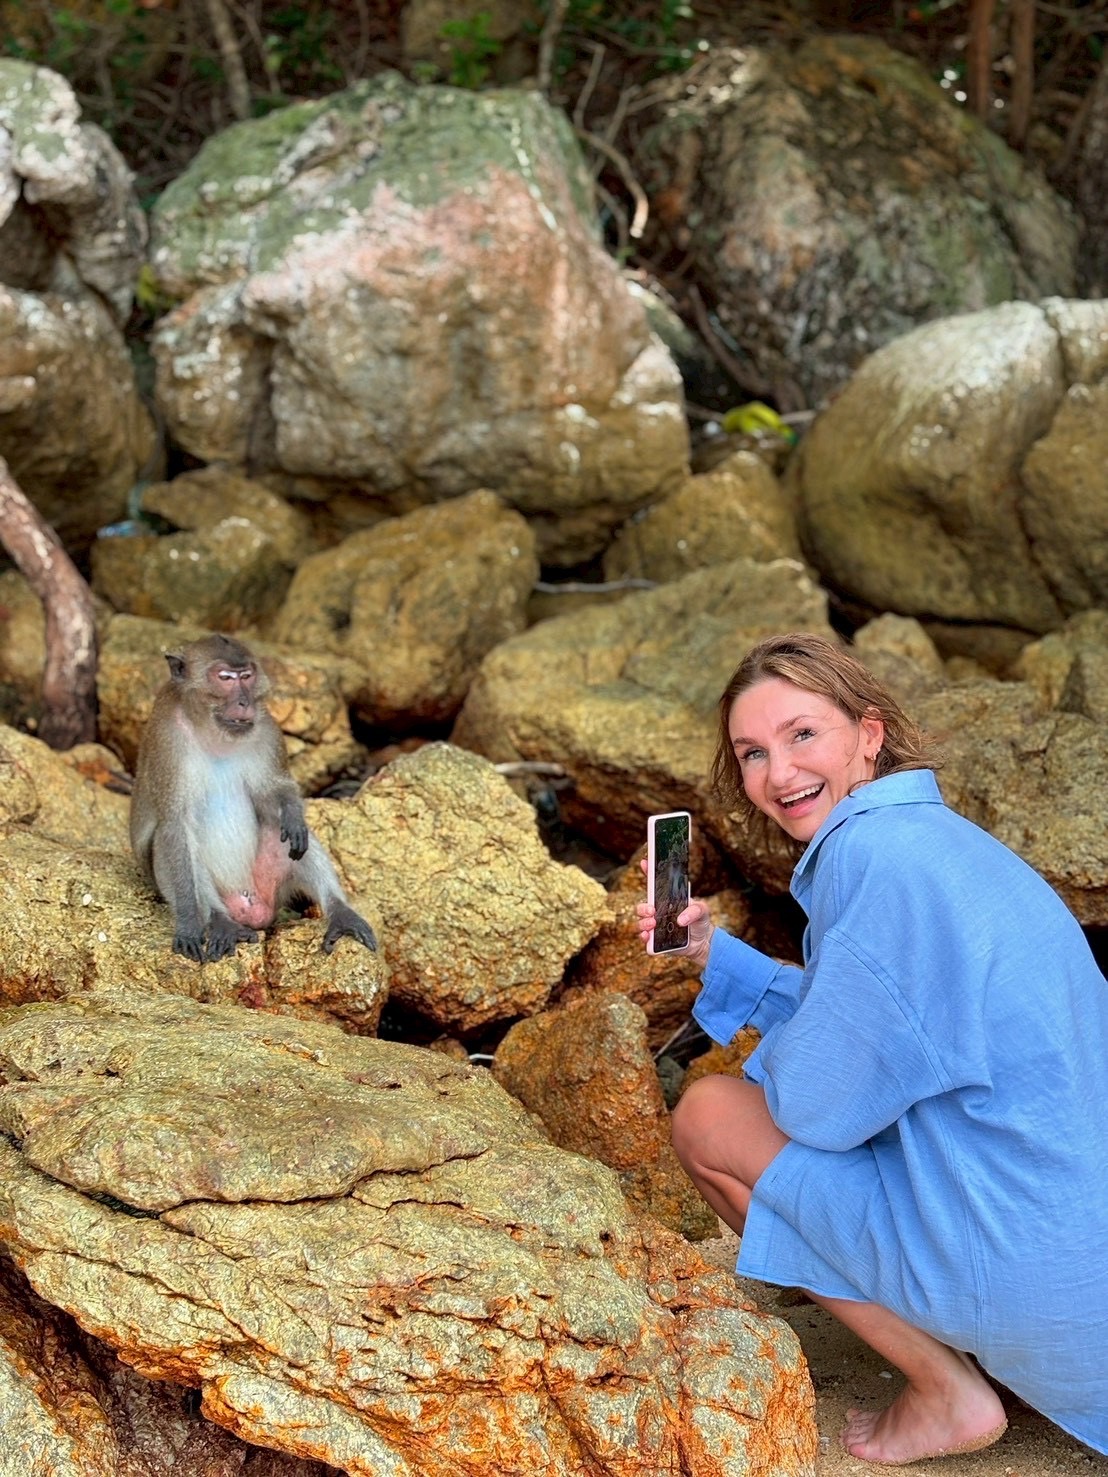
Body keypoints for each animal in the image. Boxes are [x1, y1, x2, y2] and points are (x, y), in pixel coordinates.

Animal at [130, 634, 377, 963]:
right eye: (225, 678)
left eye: (246, 676)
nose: (244, 702)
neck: (212, 732)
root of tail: (252, 908)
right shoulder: (166, 740)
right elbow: (173, 827)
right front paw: (189, 923)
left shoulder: (268, 729)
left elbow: (274, 790)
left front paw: (293, 814)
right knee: (171, 843)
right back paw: (220, 921)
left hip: (267, 882)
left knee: (284, 833)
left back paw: (340, 912)